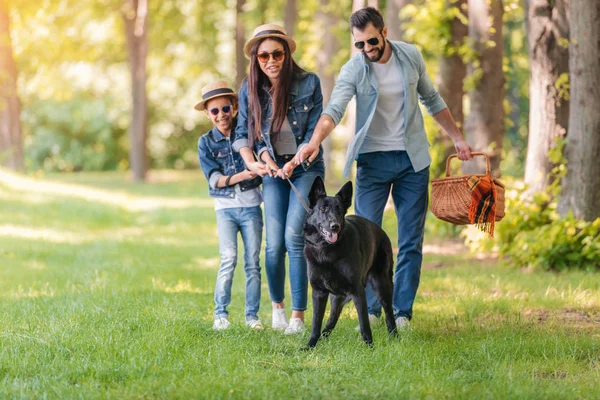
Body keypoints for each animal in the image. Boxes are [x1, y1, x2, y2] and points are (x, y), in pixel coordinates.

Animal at [302, 177, 396, 348]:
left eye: (339, 210)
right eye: (323, 209)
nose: (335, 226)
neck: (326, 250)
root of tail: (381, 231)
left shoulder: (357, 292)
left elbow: (364, 323)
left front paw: (370, 347)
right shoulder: (319, 293)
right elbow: (315, 323)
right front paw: (310, 346)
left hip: (382, 286)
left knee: (389, 313)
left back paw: (395, 336)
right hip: (336, 298)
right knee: (331, 320)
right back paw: (323, 337)